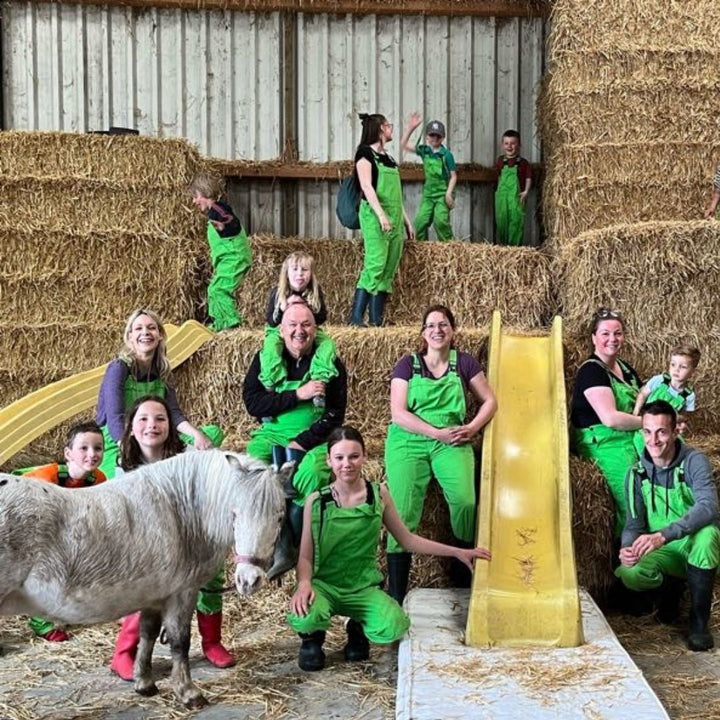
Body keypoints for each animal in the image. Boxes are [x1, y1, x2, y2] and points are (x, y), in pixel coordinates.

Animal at [0, 452, 288, 704]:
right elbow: (180, 642)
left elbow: (147, 635)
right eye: (234, 513)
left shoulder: (154, 594)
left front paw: (145, 683)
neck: (180, 512)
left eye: (280, 516)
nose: (249, 580)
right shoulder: (182, 594)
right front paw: (188, 692)